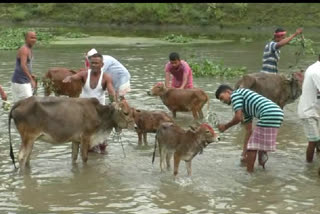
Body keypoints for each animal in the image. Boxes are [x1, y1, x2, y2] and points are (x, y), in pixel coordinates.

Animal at [7, 96, 135, 171]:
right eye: (125, 112)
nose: (134, 126)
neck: (99, 114)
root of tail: (20, 102)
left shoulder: (75, 140)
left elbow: (74, 157)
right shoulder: (86, 137)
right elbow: (84, 158)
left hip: (31, 140)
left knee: (27, 157)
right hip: (28, 137)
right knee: (21, 156)